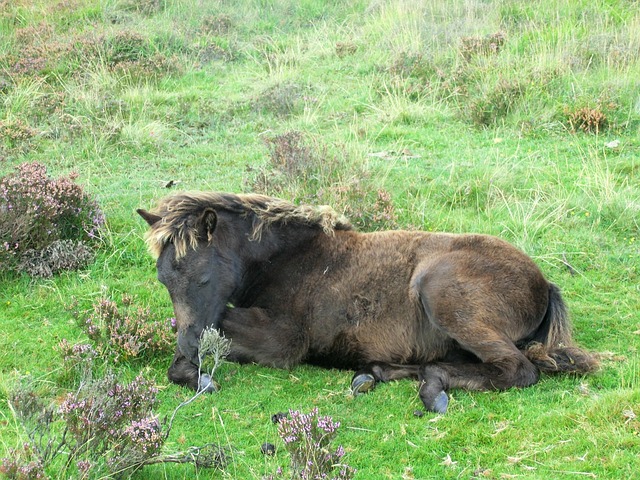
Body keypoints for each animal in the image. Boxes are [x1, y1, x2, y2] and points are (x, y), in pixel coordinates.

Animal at [137, 192, 597, 413]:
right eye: (163, 280)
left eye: (203, 278)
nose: (189, 350)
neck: (291, 258)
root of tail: (543, 283)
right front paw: (192, 369)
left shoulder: (284, 340)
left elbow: (219, 330)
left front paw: (196, 373)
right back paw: (377, 373)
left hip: (441, 293)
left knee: (517, 370)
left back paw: (430, 388)